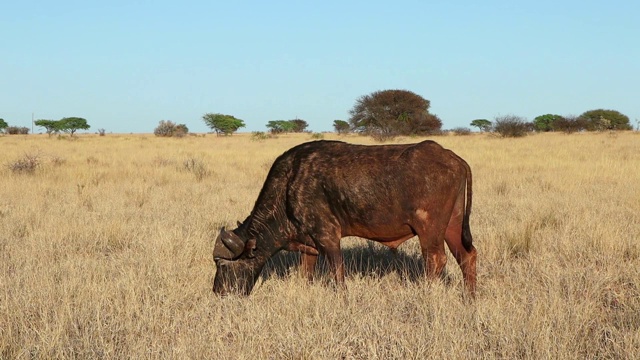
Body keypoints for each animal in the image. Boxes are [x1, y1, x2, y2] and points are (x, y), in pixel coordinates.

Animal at [212, 139, 478, 296]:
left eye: (222, 265)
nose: (217, 292)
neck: (288, 185)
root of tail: (453, 158)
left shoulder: (328, 237)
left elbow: (338, 273)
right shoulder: (309, 247)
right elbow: (306, 274)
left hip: (429, 230)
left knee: (436, 260)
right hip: (452, 226)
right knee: (467, 256)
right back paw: (469, 297)